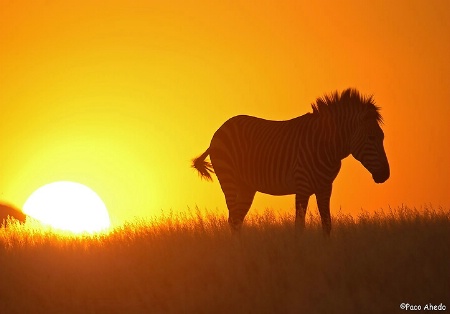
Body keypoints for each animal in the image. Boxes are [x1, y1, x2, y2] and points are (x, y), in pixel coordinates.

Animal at [192, 88, 388, 236]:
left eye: (382, 137)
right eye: (371, 138)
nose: (385, 175)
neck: (325, 145)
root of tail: (220, 130)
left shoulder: (325, 188)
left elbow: (327, 225)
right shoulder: (302, 187)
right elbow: (299, 226)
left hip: (246, 186)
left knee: (237, 220)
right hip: (229, 179)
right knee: (233, 219)